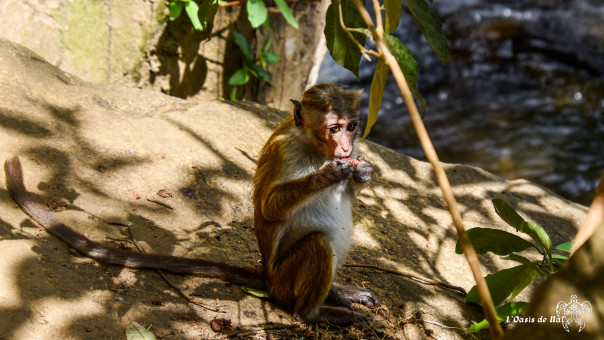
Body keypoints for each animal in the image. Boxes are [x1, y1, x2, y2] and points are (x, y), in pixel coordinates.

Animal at [4, 81, 380, 324]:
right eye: (334, 128)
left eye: (351, 126)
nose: (346, 147)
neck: (314, 148)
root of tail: (267, 278)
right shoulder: (283, 149)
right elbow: (268, 206)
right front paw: (329, 175)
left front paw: (363, 173)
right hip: (285, 281)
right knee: (317, 245)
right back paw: (315, 312)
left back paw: (337, 293)